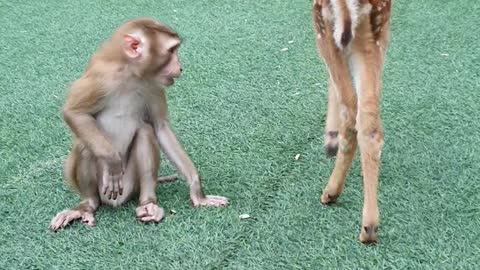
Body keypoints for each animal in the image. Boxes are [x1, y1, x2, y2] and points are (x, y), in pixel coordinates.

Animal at [49, 17, 230, 232]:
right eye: (171, 51)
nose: (180, 66)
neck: (131, 74)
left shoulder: (154, 85)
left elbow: (160, 128)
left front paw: (198, 193)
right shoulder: (100, 77)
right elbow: (74, 112)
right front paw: (112, 161)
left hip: (129, 186)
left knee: (145, 131)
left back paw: (148, 203)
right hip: (104, 188)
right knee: (85, 146)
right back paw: (87, 205)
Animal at [314, 0, 392, 244]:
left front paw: (330, 138)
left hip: (325, 26)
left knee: (351, 109)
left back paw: (330, 192)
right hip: (374, 33)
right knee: (370, 121)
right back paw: (370, 227)